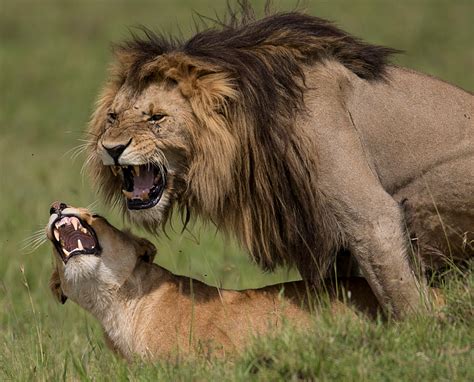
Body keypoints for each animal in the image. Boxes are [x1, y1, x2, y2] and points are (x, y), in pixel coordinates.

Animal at [86, 5, 474, 318]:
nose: (112, 148)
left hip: (425, 197)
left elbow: (400, 288)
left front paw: (423, 335)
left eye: (156, 118)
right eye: (113, 116)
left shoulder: (367, 215)